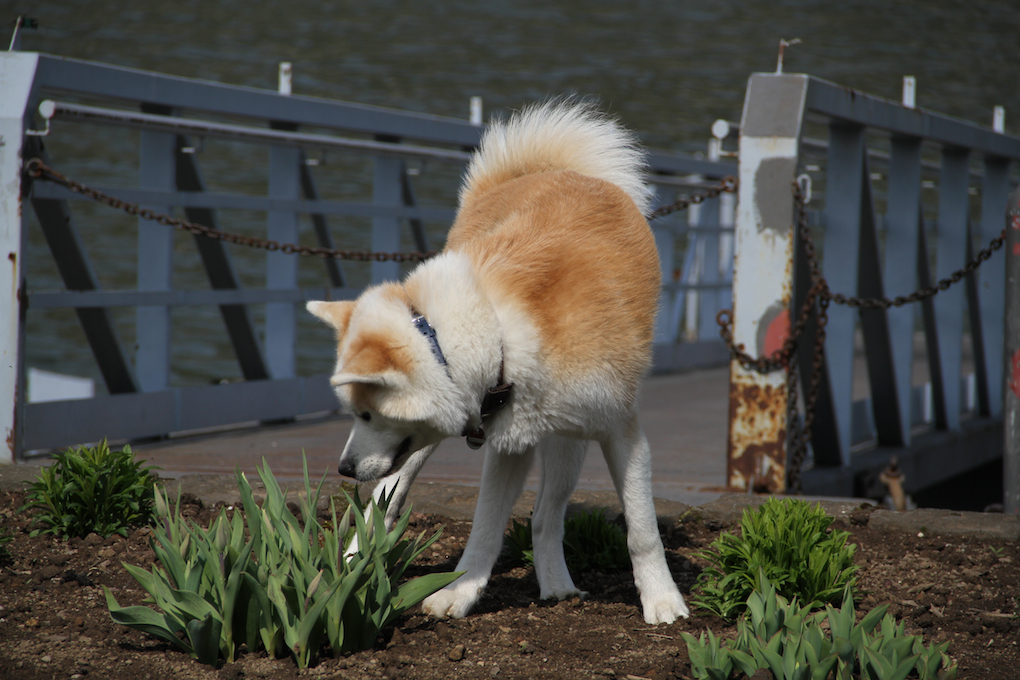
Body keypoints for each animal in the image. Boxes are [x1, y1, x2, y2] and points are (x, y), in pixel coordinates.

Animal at [307, 100, 689, 624]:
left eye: (365, 414)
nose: (343, 469)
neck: (499, 335)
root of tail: (555, 171)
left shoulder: (622, 434)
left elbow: (642, 531)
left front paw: (662, 599)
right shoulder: (506, 445)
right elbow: (485, 527)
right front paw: (458, 592)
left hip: (567, 442)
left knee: (547, 517)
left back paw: (557, 585)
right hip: (442, 444)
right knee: (389, 497)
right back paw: (351, 565)